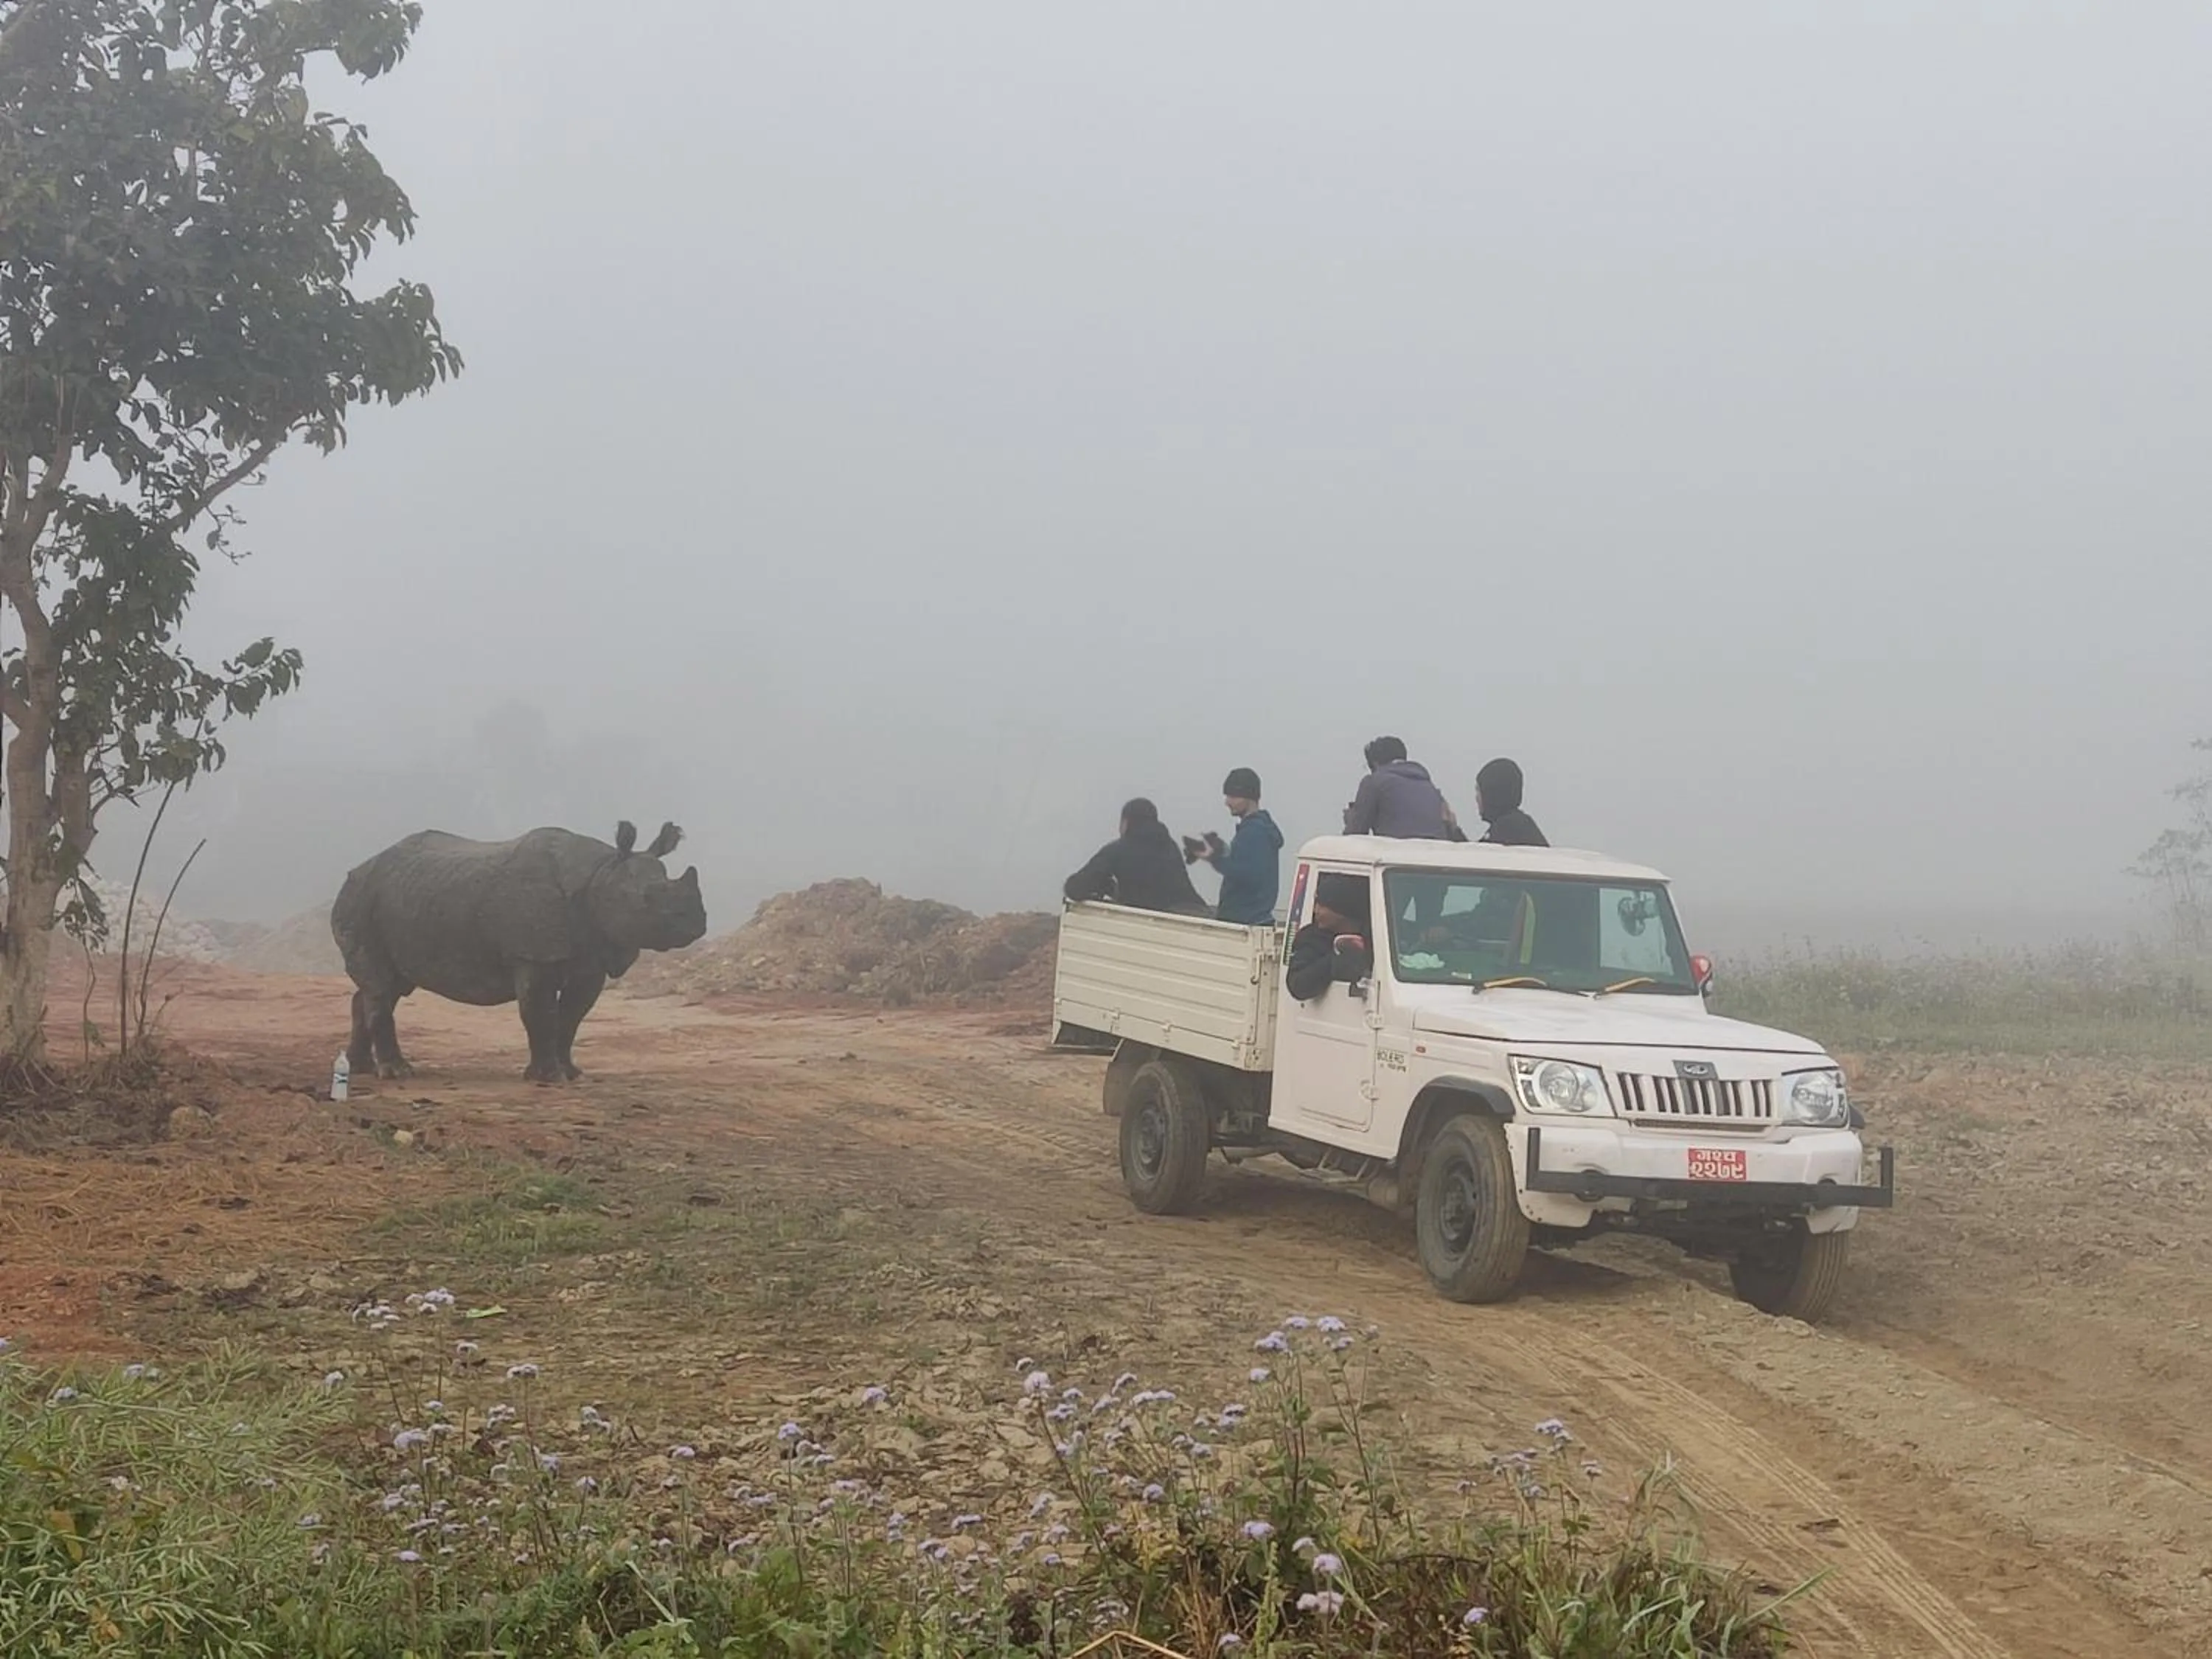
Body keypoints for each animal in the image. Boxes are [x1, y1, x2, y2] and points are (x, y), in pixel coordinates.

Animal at [330, 820, 707, 1083]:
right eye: (647, 899)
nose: (696, 926)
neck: (601, 873)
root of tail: (354, 872)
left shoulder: (591, 958)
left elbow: (571, 1017)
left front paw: (572, 1073)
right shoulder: (532, 954)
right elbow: (541, 1013)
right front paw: (549, 1078)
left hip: (403, 896)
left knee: (387, 986)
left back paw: (361, 1068)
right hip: (362, 899)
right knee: (381, 987)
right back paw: (399, 1073)